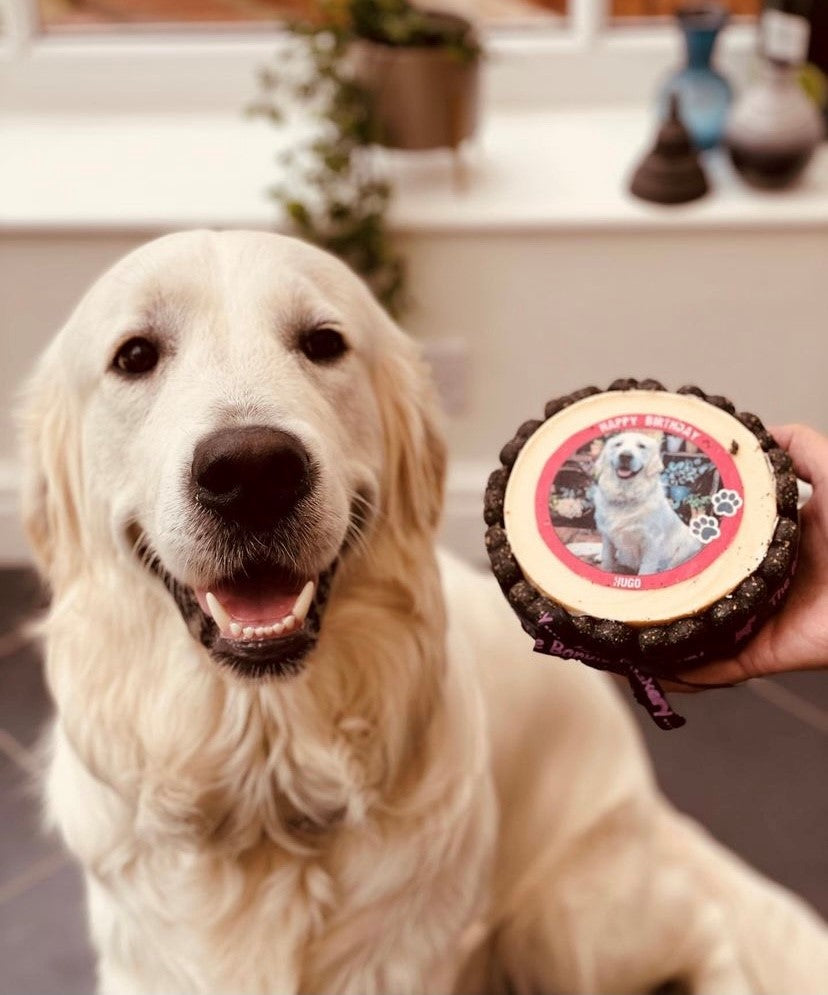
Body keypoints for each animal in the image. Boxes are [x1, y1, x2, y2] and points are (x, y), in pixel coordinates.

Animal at [592, 430, 700, 576]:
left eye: (641, 446)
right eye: (618, 444)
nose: (625, 456)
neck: (626, 495)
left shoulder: (652, 541)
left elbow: (646, 569)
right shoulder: (607, 536)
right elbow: (607, 561)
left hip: (689, 545)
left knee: (673, 563)